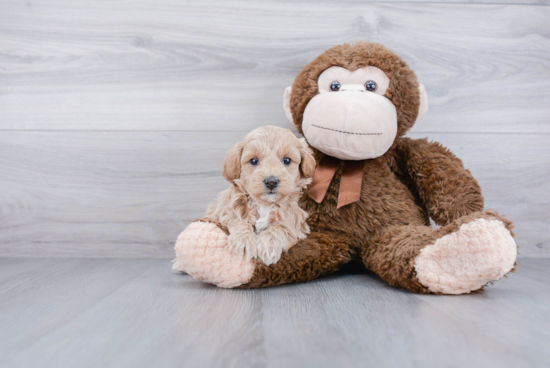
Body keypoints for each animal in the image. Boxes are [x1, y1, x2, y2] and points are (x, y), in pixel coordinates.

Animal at [204, 125, 316, 266]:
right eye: (254, 160)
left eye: (286, 160)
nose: (271, 181)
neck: (265, 204)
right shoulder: (224, 212)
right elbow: (239, 220)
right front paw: (244, 242)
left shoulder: (296, 224)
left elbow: (279, 228)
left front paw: (269, 246)